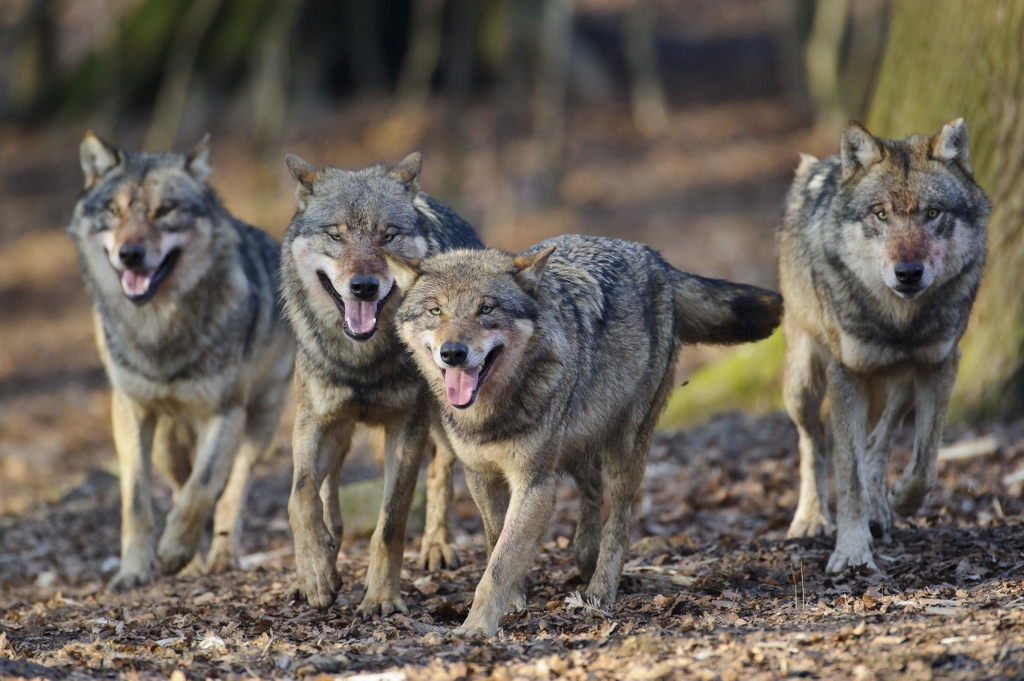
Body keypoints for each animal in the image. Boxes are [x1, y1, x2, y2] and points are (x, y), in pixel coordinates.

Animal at [67, 132, 295, 590]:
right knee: (177, 483)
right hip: (167, 443)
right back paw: (192, 563)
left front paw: (173, 550)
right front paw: (135, 570)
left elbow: (202, 488)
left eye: (165, 210)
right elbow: (137, 501)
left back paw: (221, 556)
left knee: (232, 490)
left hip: (259, 422)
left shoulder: (225, 414)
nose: (130, 254)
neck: (160, 331)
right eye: (114, 210)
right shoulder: (130, 411)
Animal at [280, 152, 483, 615]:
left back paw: (437, 545)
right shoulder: (315, 420)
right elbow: (300, 496)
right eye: (336, 234)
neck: (363, 361)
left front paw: (381, 598)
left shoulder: (406, 427)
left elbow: (390, 523)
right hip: (340, 433)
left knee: (441, 471)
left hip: (445, 418)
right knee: (328, 493)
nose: (364, 287)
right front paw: (315, 574)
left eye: (388, 236)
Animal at [388, 234, 783, 635]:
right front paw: (512, 600)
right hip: (582, 441)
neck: (492, 413)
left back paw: (600, 588)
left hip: (627, 448)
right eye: (435, 311)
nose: (453, 353)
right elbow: (497, 541)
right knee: (591, 491)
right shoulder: (479, 474)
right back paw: (584, 556)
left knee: (620, 521)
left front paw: (477, 627)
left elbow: (499, 563)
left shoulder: (534, 482)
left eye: (486, 309)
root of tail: (655, 259)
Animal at [778, 119, 988, 572]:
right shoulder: (847, 376)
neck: (899, 322)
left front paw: (902, 502)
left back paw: (881, 509)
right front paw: (851, 550)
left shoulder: (941, 364)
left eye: (932, 213)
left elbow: (925, 462)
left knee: (878, 442)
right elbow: (848, 475)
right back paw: (811, 518)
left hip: (901, 384)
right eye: (881, 214)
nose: (908, 272)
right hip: (802, 383)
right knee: (813, 443)